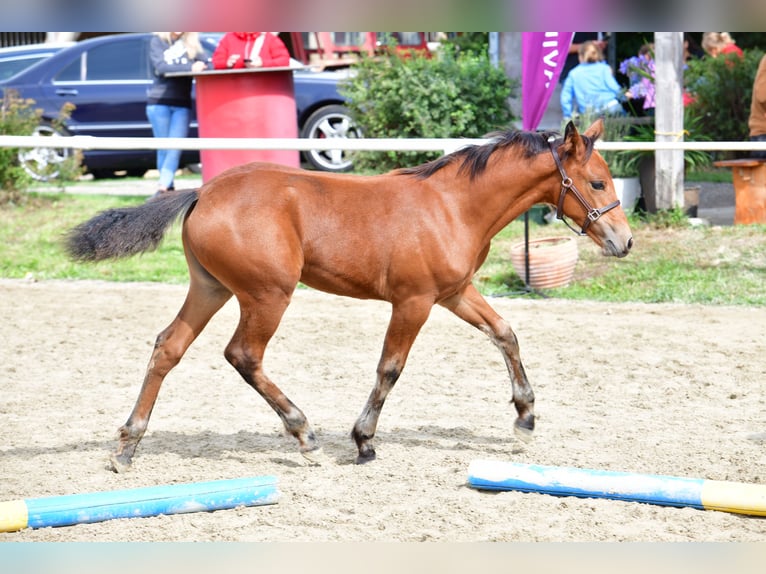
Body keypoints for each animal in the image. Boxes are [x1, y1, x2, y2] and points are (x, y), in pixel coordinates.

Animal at [65, 119, 633, 472]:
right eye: (597, 183)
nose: (624, 242)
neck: (452, 205)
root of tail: (203, 191)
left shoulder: (454, 293)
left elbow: (505, 334)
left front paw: (525, 416)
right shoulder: (414, 301)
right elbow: (390, 368)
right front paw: (363, 441)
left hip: (211, 288)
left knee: (168, 348)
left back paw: (127, 447)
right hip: (267, 295)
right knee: (243, 354)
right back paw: (304, 434)